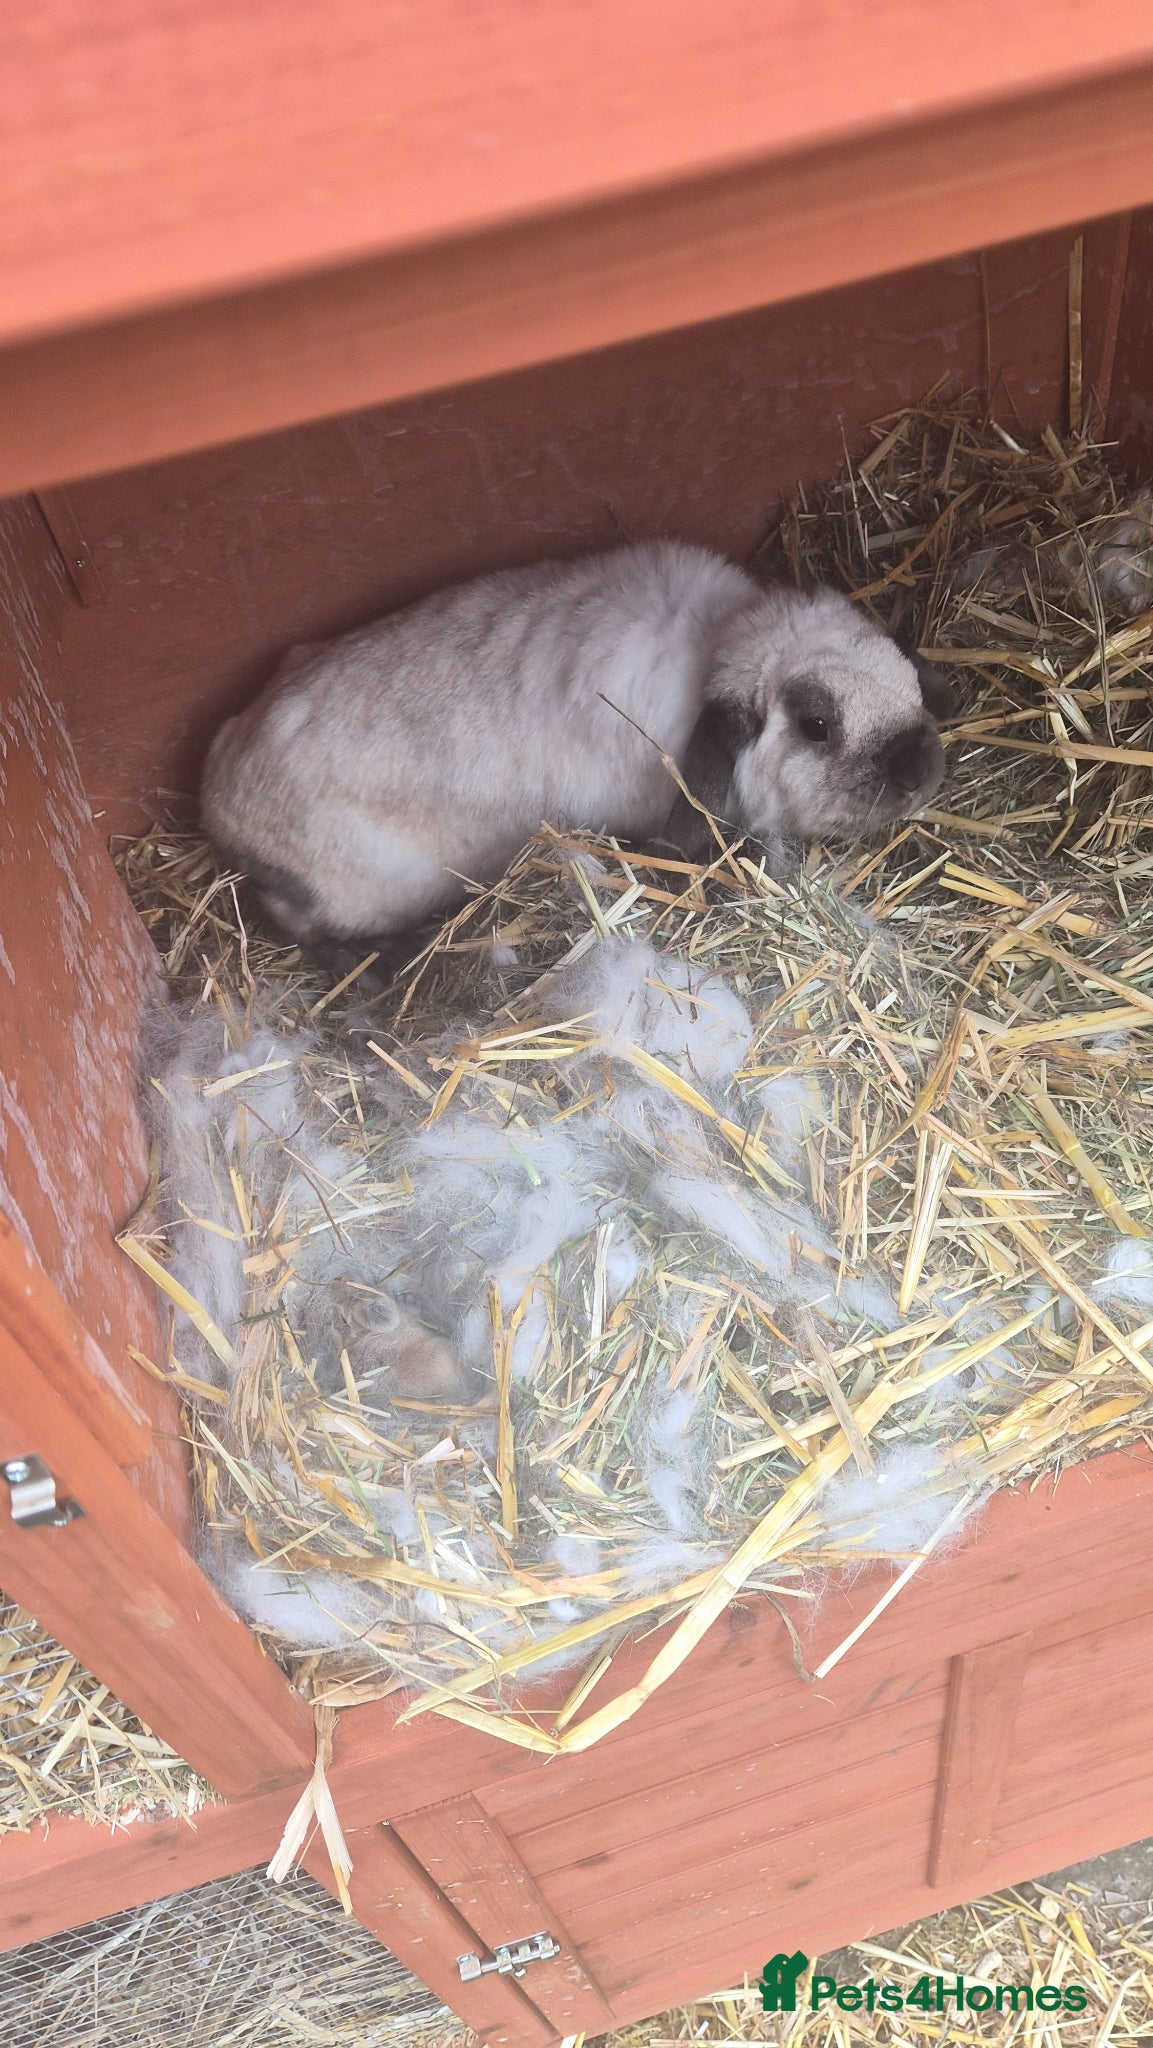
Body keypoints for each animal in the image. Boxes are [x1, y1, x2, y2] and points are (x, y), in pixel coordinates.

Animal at [202, 540, 949, 977]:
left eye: (897, 666)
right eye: (817, 725)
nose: (921, 771)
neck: (715, 644)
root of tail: (218, 798)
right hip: (357, 892)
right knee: (306, 929)